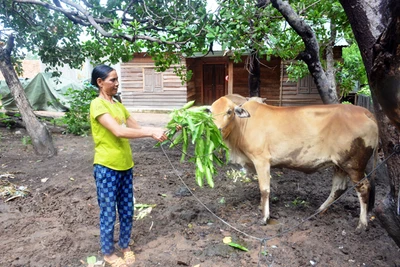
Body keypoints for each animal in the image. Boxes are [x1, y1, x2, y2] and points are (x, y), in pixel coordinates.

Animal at [211, 94, 380, 230]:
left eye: (229, 111)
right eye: (211, 113)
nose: (216, 130)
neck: (243, 126)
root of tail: (365, 112)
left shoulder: (261, 160)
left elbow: (264, 189)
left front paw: (265, 217)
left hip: (354, 165)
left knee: (363, 188)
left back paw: (362, 224)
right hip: (340, 164)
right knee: (339, 188)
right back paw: (320, 210)